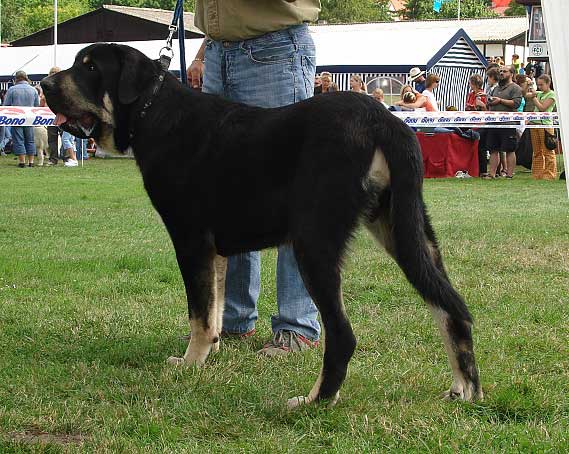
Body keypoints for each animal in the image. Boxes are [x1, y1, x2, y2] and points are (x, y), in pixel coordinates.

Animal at [42, 44, 482, 408]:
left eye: (90, 67)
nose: (44, 83)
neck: (153, 112)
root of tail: (382, 119)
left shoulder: (190, 238)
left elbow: (198, 311)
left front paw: (190, 363)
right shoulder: (215, 249)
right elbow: (214, 308)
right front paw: (210, 353)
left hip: (314, 242)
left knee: (343, 334)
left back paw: (315, 401)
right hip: (407, 231)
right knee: (451, 308)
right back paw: (466, 389)